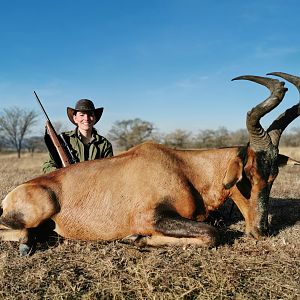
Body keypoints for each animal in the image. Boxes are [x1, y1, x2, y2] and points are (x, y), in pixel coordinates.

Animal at [0, 72, 298, 255]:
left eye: (273, 175)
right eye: (247, 173)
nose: (261, 231)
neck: (183, 167)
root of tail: (12, 194)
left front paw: (136, 239)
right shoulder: (149, 216)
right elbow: (212, 234)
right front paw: (136, 238)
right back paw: (27, 244)